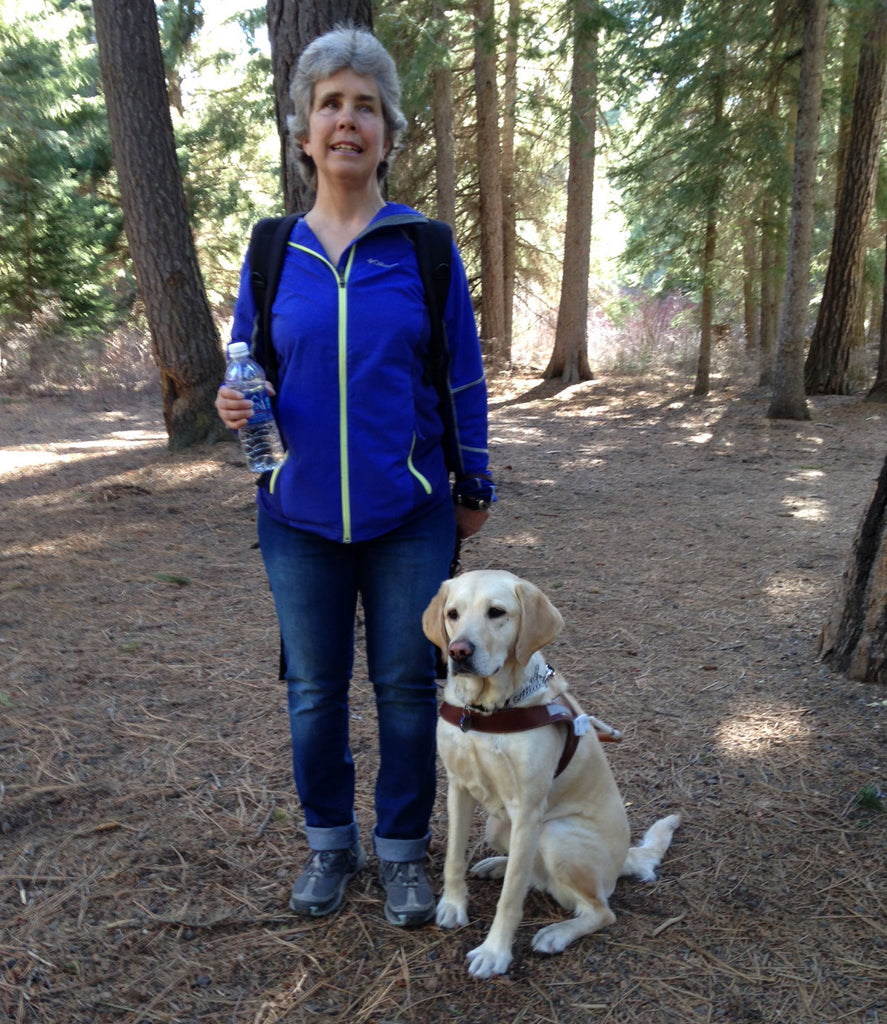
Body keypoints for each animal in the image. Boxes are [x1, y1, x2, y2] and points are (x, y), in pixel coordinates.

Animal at [421, 573, 676, 978]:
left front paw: (495, 953)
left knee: (600, 910)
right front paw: (453, 905)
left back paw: (557, 933)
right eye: (452, 614)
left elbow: (511, 897)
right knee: (532, 873)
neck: (488, 712)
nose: (459, 651)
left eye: (497, 613)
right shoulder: (458, 788)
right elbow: (453, 859)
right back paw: (497, 866)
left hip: (554, 834)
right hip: (498, 825)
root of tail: (624, 858)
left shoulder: (528, 810)